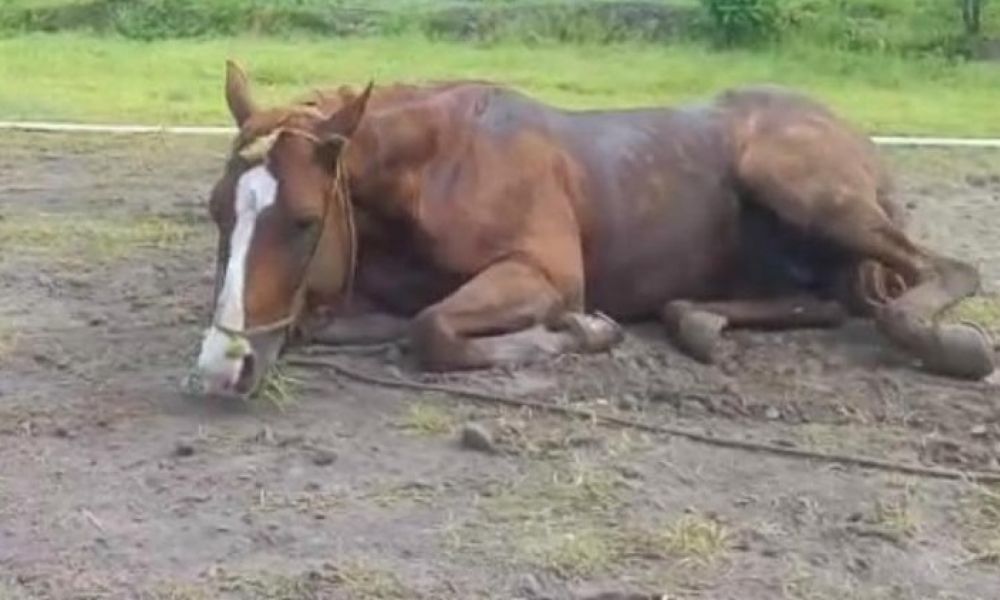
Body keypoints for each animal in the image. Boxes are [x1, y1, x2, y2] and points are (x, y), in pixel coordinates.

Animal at [191, 61, 996, 398]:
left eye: (303, 221)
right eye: (218, 210)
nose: (220, 369)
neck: (442, 165)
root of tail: (853, 135)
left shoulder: (545, 276)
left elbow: (433, 329)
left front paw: (579, 334)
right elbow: (352, 322)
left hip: (798, 183)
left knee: (939, 275)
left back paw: (947, 345)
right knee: (826, 301)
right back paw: (700, 323)